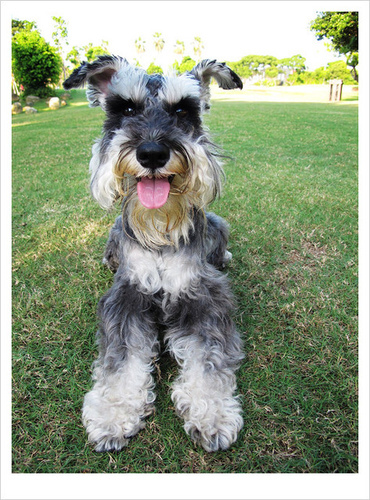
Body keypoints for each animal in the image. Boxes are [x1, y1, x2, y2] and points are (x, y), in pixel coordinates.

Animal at [62, 55, 246, 454]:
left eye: (182, 110)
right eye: (126, 108)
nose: (151, 153)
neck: (160, 229)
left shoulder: (203, 298)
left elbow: (209, 359)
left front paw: (212, 413)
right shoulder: (126, 298)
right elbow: (120, 361)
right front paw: (113, 415)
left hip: (218, 223)